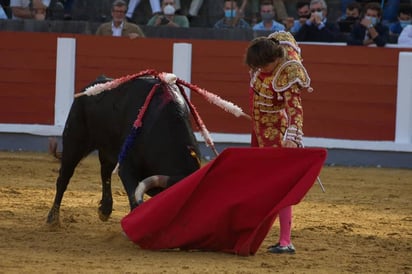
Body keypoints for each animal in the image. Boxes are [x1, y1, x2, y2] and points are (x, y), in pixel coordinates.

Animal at [46, 76, 201, 226]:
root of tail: (89, 87)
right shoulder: (127, 167)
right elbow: (135, 199)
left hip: (106, 148)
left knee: (105, 172)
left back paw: (105, 210)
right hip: (73, 143)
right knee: (63, 178)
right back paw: (53, 218)